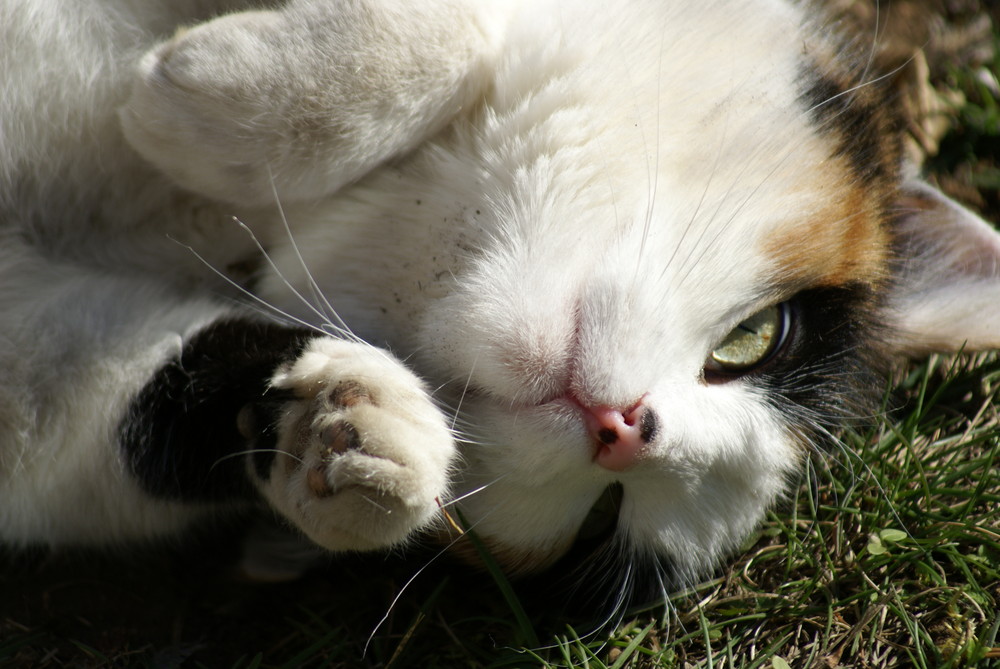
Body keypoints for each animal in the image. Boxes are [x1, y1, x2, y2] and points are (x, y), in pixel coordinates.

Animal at [1, 0, 1000, 612]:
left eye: (601, 520)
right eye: (758, 338)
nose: (624, 426)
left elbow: (95, 413)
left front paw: (352, 435)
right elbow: (460, 30)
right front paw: (201, 98)